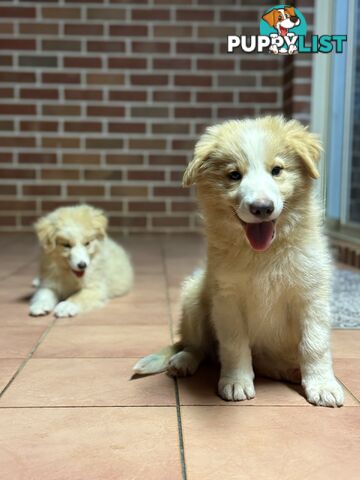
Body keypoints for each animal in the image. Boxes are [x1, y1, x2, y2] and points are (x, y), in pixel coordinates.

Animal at [134, 114, 344, 406]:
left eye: (277, 170)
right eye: (234, 175)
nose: (262, 208)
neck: (263, 254)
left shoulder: (311, 297)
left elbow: (315, 345)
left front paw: (323, 385)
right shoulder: (227, 299)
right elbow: (234, 345)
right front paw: (236, 382)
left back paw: (290, 370)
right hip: (195, 298)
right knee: (198, 346)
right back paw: (182, 361)